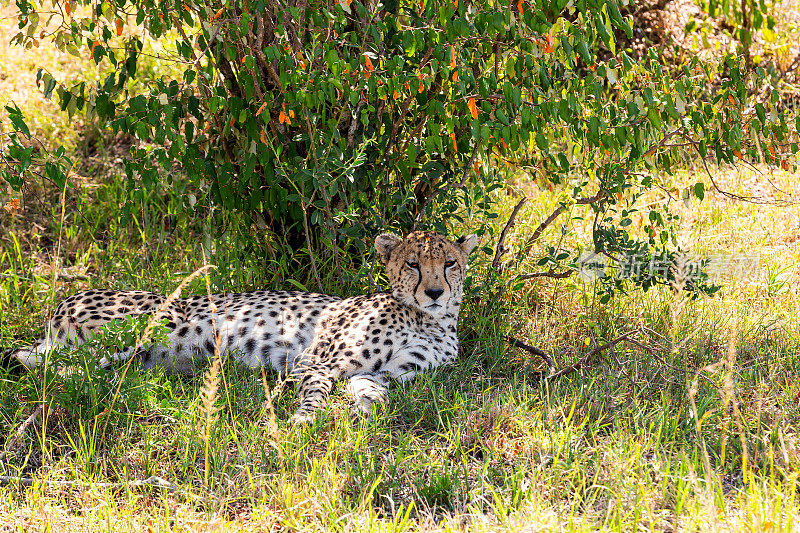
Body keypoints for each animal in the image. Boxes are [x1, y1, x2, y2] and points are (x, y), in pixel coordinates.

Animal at [4, 231, 476, 422]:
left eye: (450, 263)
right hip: (152, 324)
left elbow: (370, 389)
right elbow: (316, 395)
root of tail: (65, 300)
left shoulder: (388, 373)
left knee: (43, 363)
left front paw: (362, 409)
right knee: (64, 372)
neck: (428, 320)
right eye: (413, 264)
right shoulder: (314, 362)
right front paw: (302, 424)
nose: (435, 291)